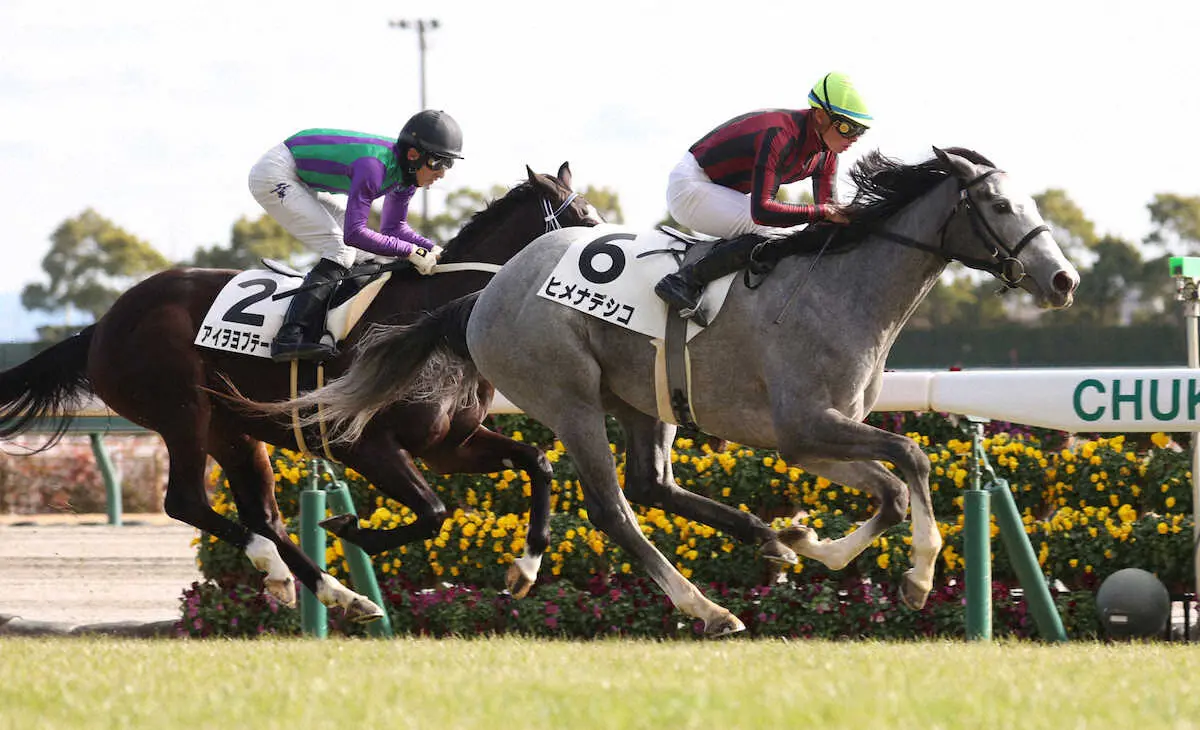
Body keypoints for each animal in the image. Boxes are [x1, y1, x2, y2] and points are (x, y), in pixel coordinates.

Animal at [0, 163, 603, 622]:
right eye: (582, 222)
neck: (436, 320)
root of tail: (101, 325)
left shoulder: (448, 445)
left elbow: (537, 462)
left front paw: (524, 569)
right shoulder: (364, 444)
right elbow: (433, 511)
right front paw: (350, 528)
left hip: (234, 431)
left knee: (261, 513)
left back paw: (331, 592)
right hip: (182, 412)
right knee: (187, 501)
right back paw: (288, 571)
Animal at [268, 147, 1080, 635]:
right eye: (1000, 208)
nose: (1063, 279)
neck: (843, 288)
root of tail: (486, 292)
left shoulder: (814, 436)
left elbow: (889, 489)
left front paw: (813, 545)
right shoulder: (805, 423)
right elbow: (913, 458)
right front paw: (915, 575)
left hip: (644, 400)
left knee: (651, 484)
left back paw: (766, 546)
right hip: (567, 398)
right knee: (613, 506)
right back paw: (705, 606)